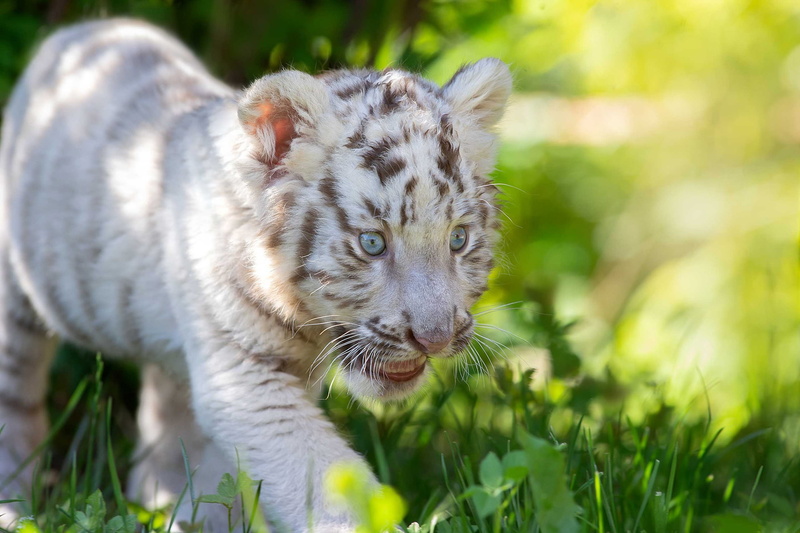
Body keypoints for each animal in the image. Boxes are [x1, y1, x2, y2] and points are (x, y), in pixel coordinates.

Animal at [0, 18, 510, 532]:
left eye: (458, 239)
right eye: (372, 243)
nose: (434, 339)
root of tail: (86, 27)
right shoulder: (246, 376)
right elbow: (326, 483)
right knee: (15, 393)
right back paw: (14, 507)